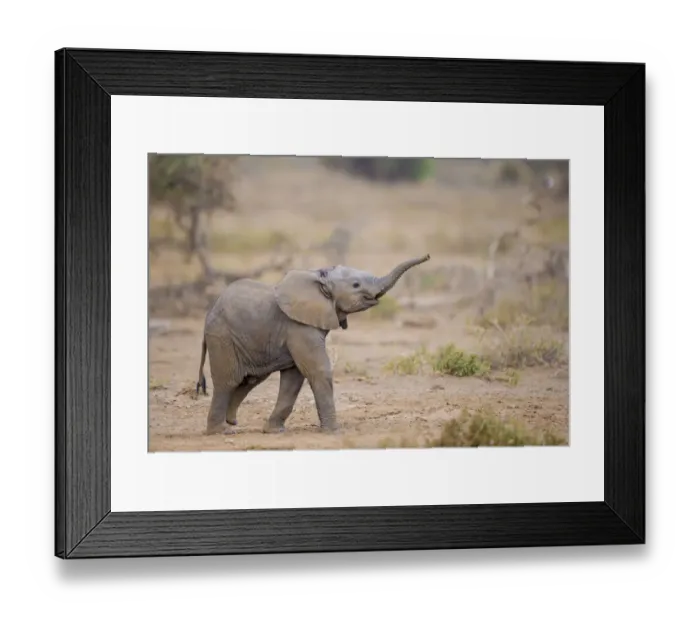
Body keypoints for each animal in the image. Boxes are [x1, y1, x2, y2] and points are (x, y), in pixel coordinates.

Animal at [195, 254, 431, 435]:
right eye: (356, 285)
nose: (428, 256)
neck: (319, 276)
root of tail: (209, 313)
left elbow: (293, 379)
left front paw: (274, 431)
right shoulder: (298, 326)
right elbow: (318, 370)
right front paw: (334, 432)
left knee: (249, 379)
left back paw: (232, 421)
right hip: (222, 337)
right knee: (228, 380)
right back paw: (221, 431)